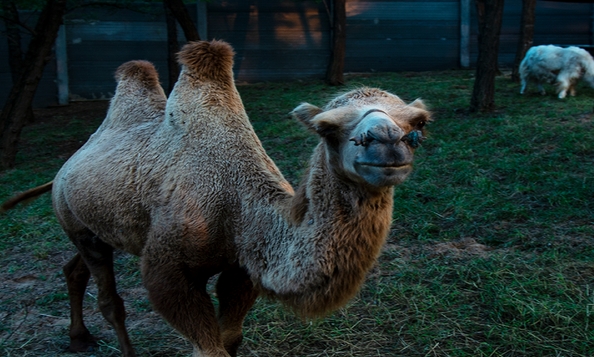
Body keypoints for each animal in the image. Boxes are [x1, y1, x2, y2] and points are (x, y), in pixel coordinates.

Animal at [5, 39, 430, 356]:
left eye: (418, 126)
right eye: (326, 129)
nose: (387, 143)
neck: (238, 206)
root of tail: (65, 167)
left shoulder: (240, 269)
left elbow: (231, 338)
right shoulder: (167, 267)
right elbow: (208, 347)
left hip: (99, 225)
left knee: (74, 269)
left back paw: (79, 338)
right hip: (76, 221)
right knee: (110, 301)